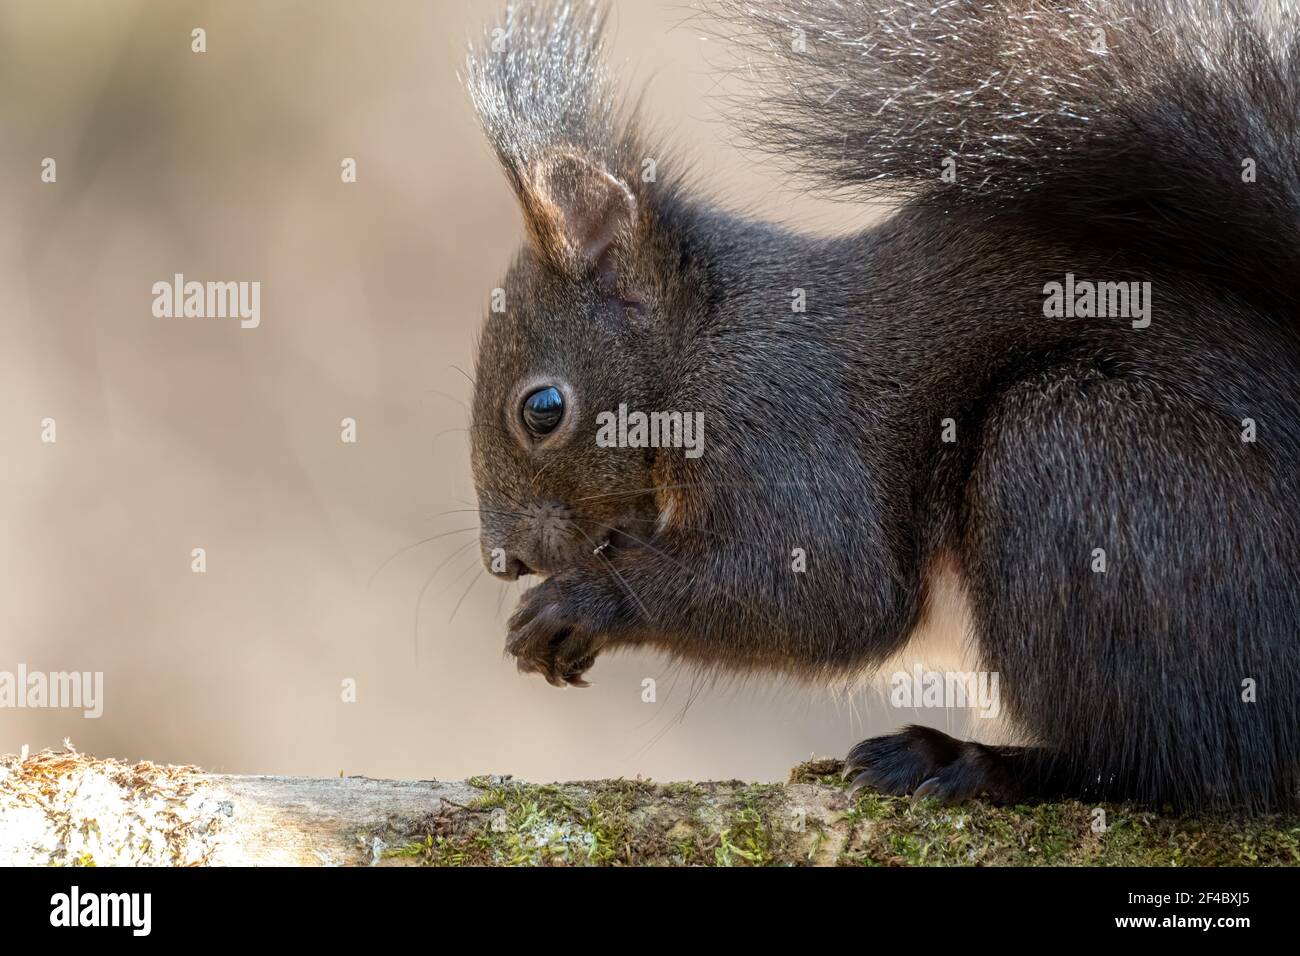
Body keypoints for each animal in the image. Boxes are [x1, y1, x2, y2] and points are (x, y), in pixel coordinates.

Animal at [462, 0, 1294, 816]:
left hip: (1079, 457)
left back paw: (974, 762)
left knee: (1175, 764)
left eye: (542, 409)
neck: (703, 342)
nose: (505, 559)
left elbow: (831, 593)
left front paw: (578, 603)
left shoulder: (784, 428)